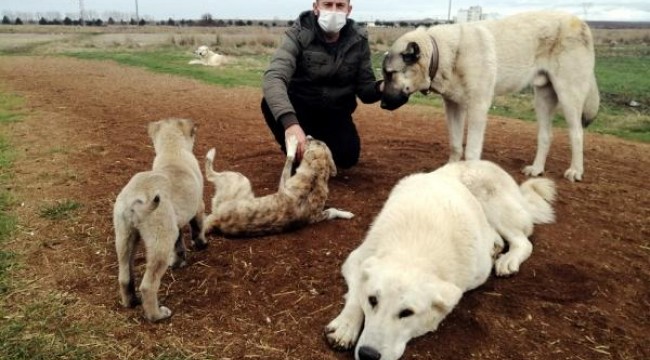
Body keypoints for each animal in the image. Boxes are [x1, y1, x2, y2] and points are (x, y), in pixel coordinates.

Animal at [112, 119, 206, 324]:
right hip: (159, 244)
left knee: (124, 278)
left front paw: (179, 261)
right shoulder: (198, 208)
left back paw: (131, 302)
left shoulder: (175, 225)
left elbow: (179, 245)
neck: (173, 151)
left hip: (124, 238)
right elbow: (198, 229)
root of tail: (134, 199)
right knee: (148, 286)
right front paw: (202, 245)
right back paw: (157, 315)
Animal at [204, 135, 352, 236]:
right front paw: (346, 214)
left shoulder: (283, 184)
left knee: (210, 174)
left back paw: (210, 155)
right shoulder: (315, 217)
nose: (309, 136)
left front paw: (291, 145)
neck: (315, 176)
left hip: (240, 179)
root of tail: (216, 219)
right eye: (319, 142)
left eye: (314, 142)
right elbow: (332, 210)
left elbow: (289, 159)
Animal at [322, 161, 552, 360]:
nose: (368, 355)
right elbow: (355, 296)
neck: (414, 248)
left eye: (407, 313)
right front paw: (345, 326)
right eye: (372, 300)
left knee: (523, 242)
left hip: (495, 208)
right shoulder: (357, 259)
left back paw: (508, 260)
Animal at [380, 11, 596, 181]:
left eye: (390, 74)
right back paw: (537, 169)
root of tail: (581, 22)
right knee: (545, 135)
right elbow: (455, 145)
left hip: (568, 96)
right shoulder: (453, 106)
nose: (381, 105)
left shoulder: (478, 107)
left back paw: (575, 171)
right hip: (542, 99)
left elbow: (471, 151)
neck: (443, 53)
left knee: (577, 133)